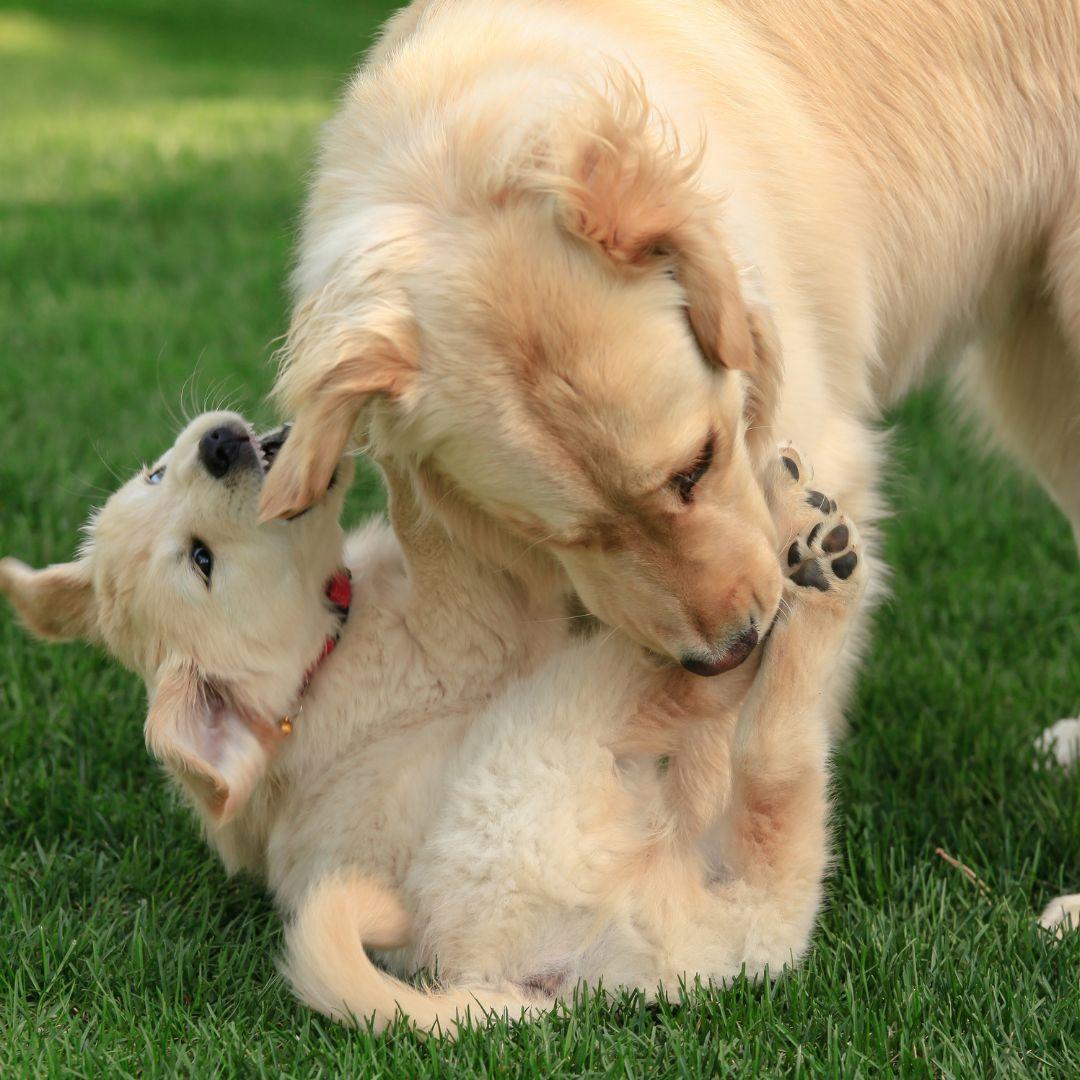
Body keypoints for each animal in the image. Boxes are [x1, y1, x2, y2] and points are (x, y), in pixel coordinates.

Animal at [0, 412, 859, 1028]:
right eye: (200, 561)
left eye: (154, 474)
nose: (218, 443)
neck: (321, 657)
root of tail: (534, 985)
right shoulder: (478, 627)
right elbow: (440, 535)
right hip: (559, 722)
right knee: (743, 729)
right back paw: (805, 556)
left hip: (718, 909)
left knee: (772, 846)